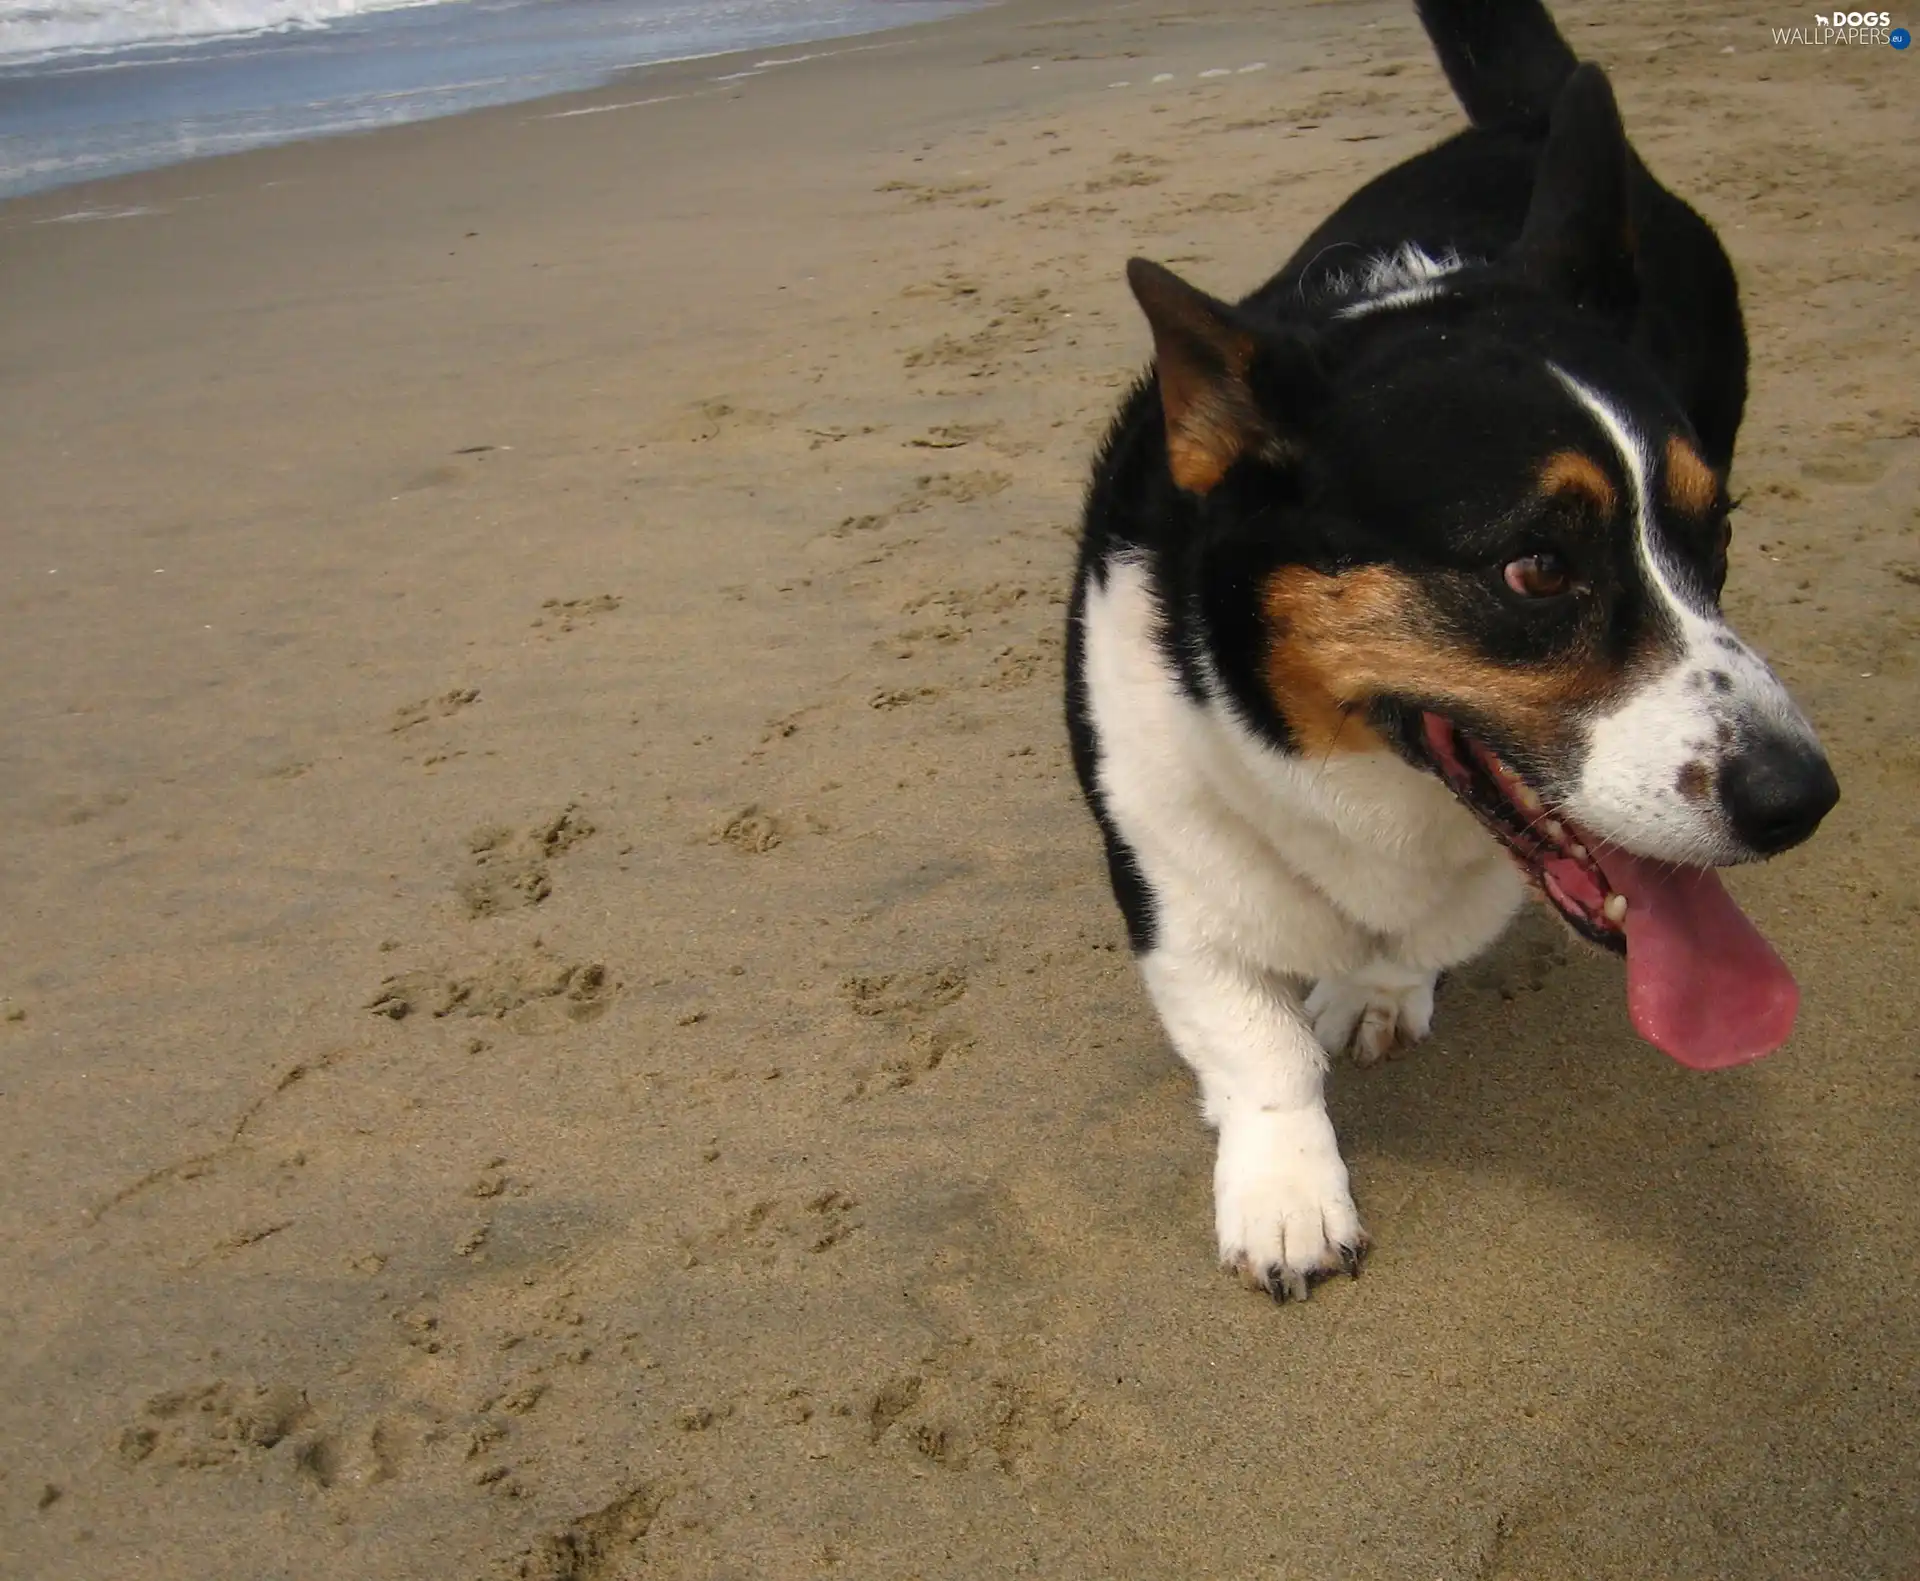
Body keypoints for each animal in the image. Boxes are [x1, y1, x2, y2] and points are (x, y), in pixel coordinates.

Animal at [1075, 0, 1835, 1306]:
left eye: (1717, 533)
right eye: (1535, 570)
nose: (1804, 802)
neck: (1358, 778)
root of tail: (1533, 117)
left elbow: (1415, 943)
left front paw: (1374, 995)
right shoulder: (1162, 855)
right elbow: (1251, 1037)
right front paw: (1285, 1196)